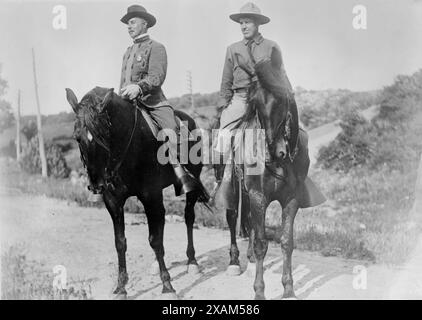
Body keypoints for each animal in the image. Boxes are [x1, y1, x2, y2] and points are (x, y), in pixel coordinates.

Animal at [66, 86, 209, 298]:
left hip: (189, 188)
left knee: (188, 218)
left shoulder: (151, 197)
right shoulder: (114, 202)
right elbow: (120, 242)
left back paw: (192, 262)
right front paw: (121, 287)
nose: (97, 185)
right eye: (77, 137)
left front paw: (167, 285)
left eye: (103, 135)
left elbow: (155, 240)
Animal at [216, 58, 324, 300]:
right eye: (255, 103)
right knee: (233, 218)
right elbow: (261, 244)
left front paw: (289, 289)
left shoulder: (290, 199)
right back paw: (234, 262)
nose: (275, 150)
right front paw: (259, 291)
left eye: (283, 100)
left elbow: (286, 242)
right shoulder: (258, 196)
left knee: (249, 222)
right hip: (235, 192)